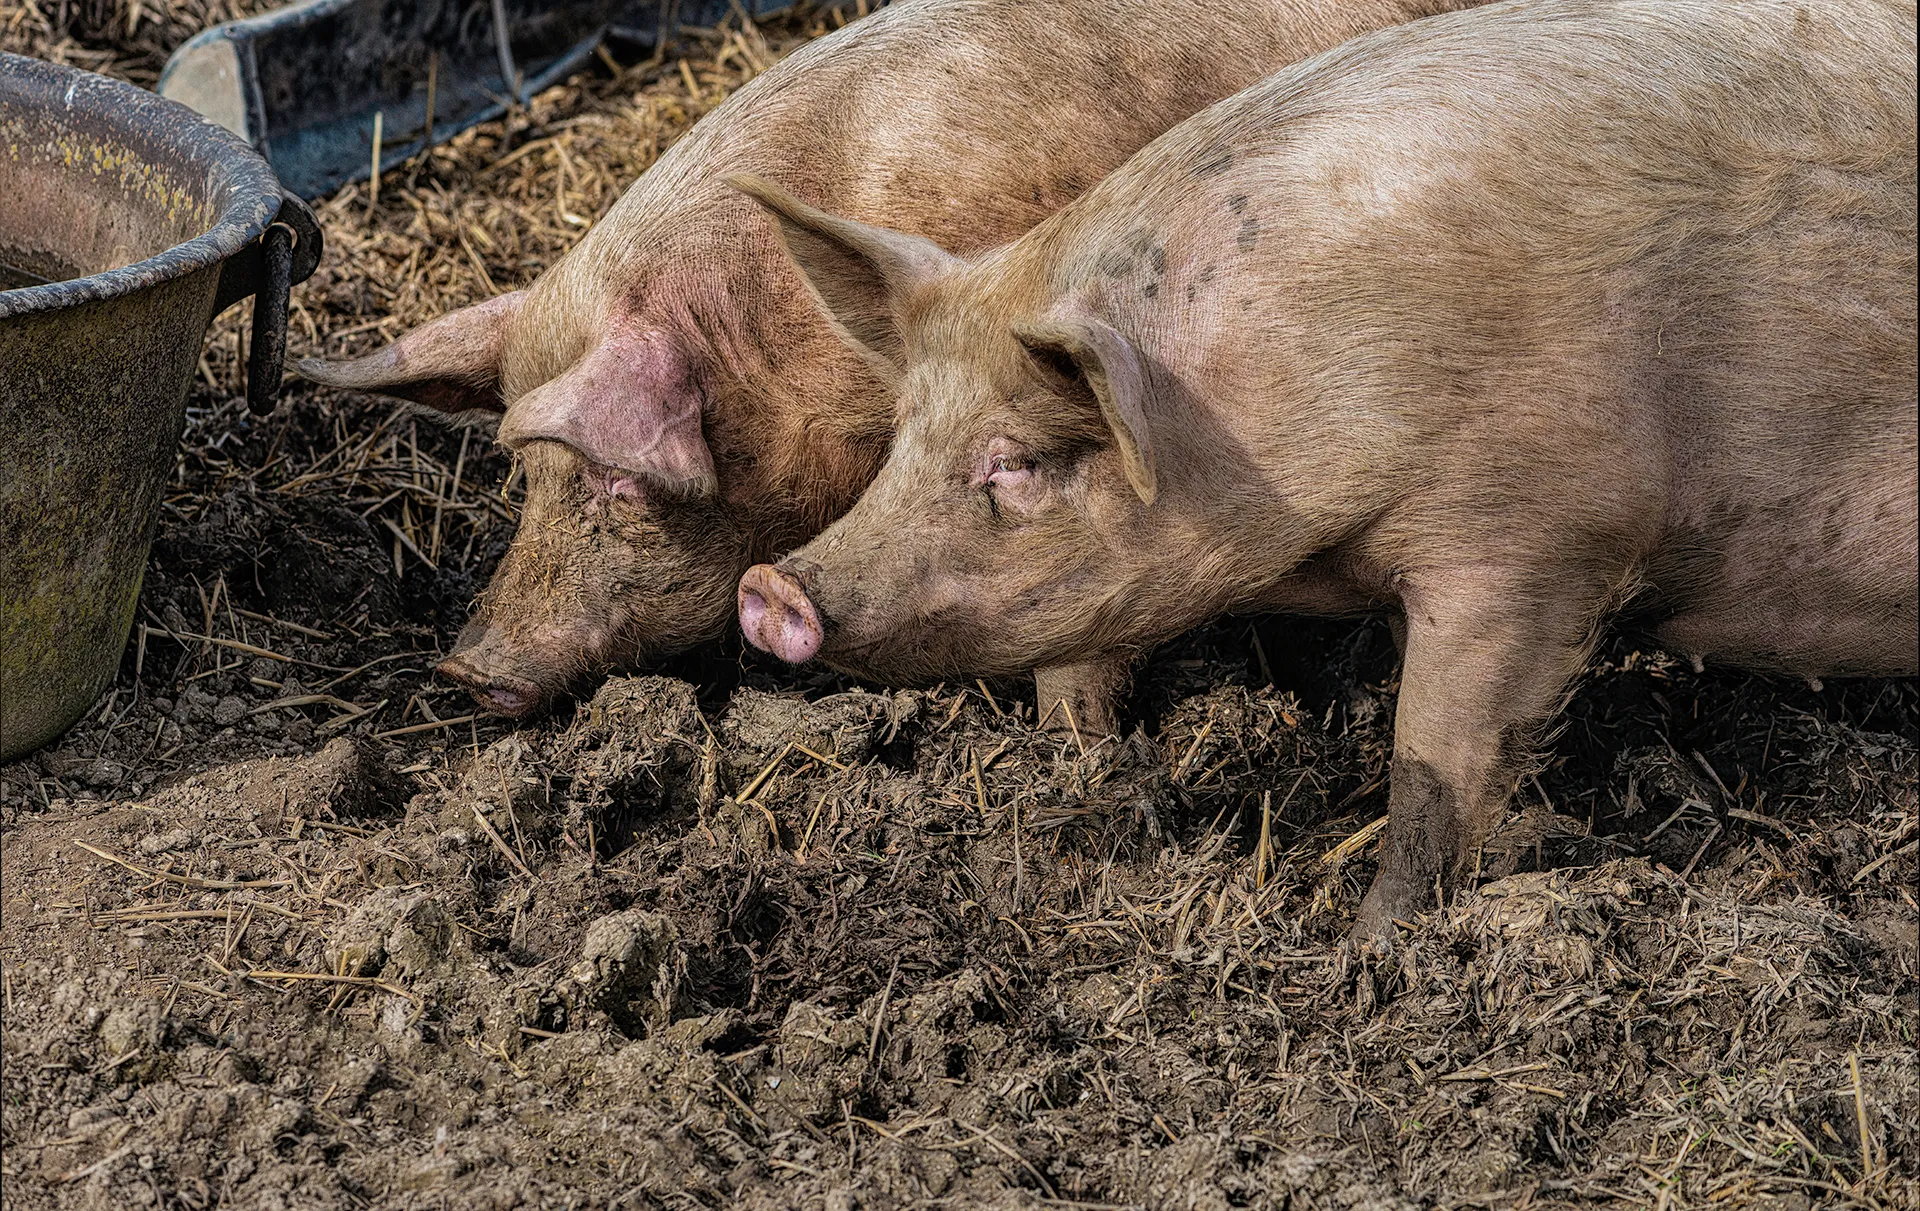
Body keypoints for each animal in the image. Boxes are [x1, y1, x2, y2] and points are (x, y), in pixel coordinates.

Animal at [732, 0, 1919, 941]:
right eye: (904, 436)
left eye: (1015, 461)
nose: (774, 587)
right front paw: (1080, 775)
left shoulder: (1535, 540)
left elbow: (1432, 763)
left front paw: (1371, 949)